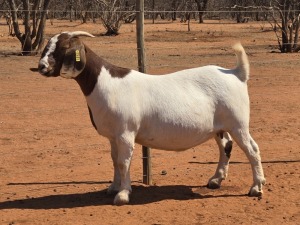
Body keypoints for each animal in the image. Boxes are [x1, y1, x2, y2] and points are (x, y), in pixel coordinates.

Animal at [34, 30, 264, 205]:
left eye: (63, 48)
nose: (42, 67)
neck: (104, 82)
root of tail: (236, 73)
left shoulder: (126, 132)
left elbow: (124, 162)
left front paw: (123, 194)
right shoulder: (113, 135)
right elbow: (114, 160)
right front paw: (113, 187)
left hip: (238, 123)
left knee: (252, 149)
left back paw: (256, 187)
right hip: (220, 127)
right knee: (226, 146)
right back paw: (216, 180)